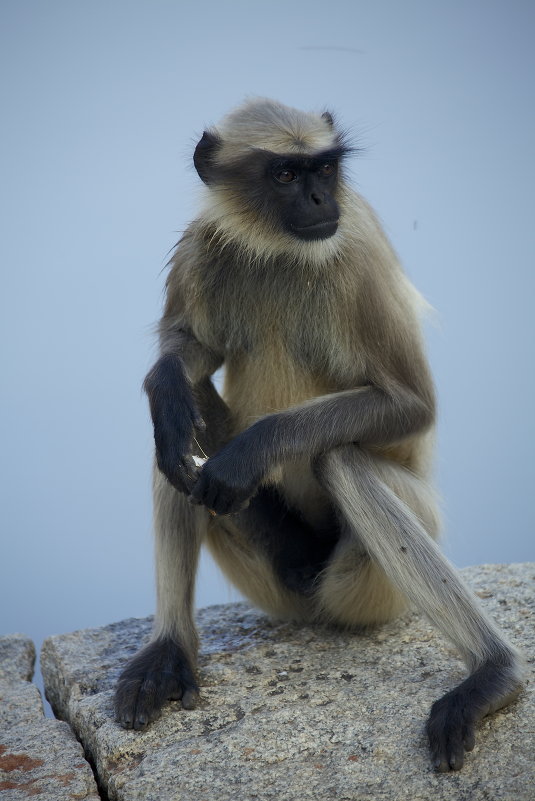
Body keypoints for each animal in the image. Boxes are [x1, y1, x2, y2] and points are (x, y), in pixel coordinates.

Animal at [116, 98, 524, 768]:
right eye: (285, 175)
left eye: (326, 169)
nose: (317, 198)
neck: (280, 249)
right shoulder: (203, 245)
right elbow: (186, 356)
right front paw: (167, 380)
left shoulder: (355, 253)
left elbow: (412, 406)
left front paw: (251, 452)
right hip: (277, 576)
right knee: (170, 441)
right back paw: (169, 648)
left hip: (368, 588)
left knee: (338, 462)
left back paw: (495, 673)